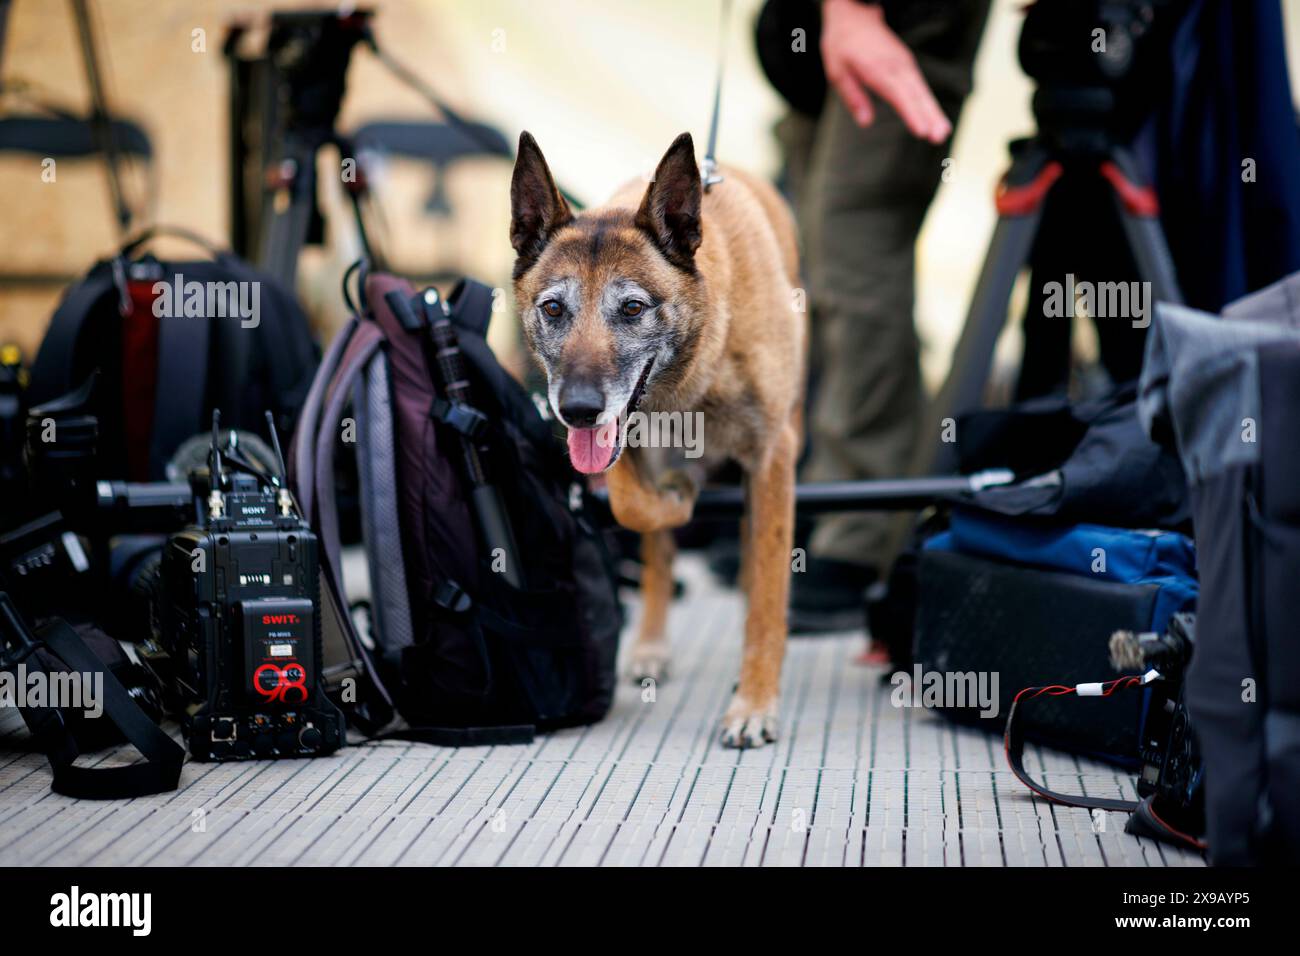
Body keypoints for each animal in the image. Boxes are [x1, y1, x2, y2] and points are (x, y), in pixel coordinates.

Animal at [506, 132, 800, 749]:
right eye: (553, 308)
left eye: (633, 308)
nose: (577, 410)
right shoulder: (621, 441)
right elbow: (634, 507)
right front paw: (675, 498)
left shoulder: (773, 456)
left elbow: (767, 595)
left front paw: (754, 703)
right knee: (658, 552)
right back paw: (651, 643)